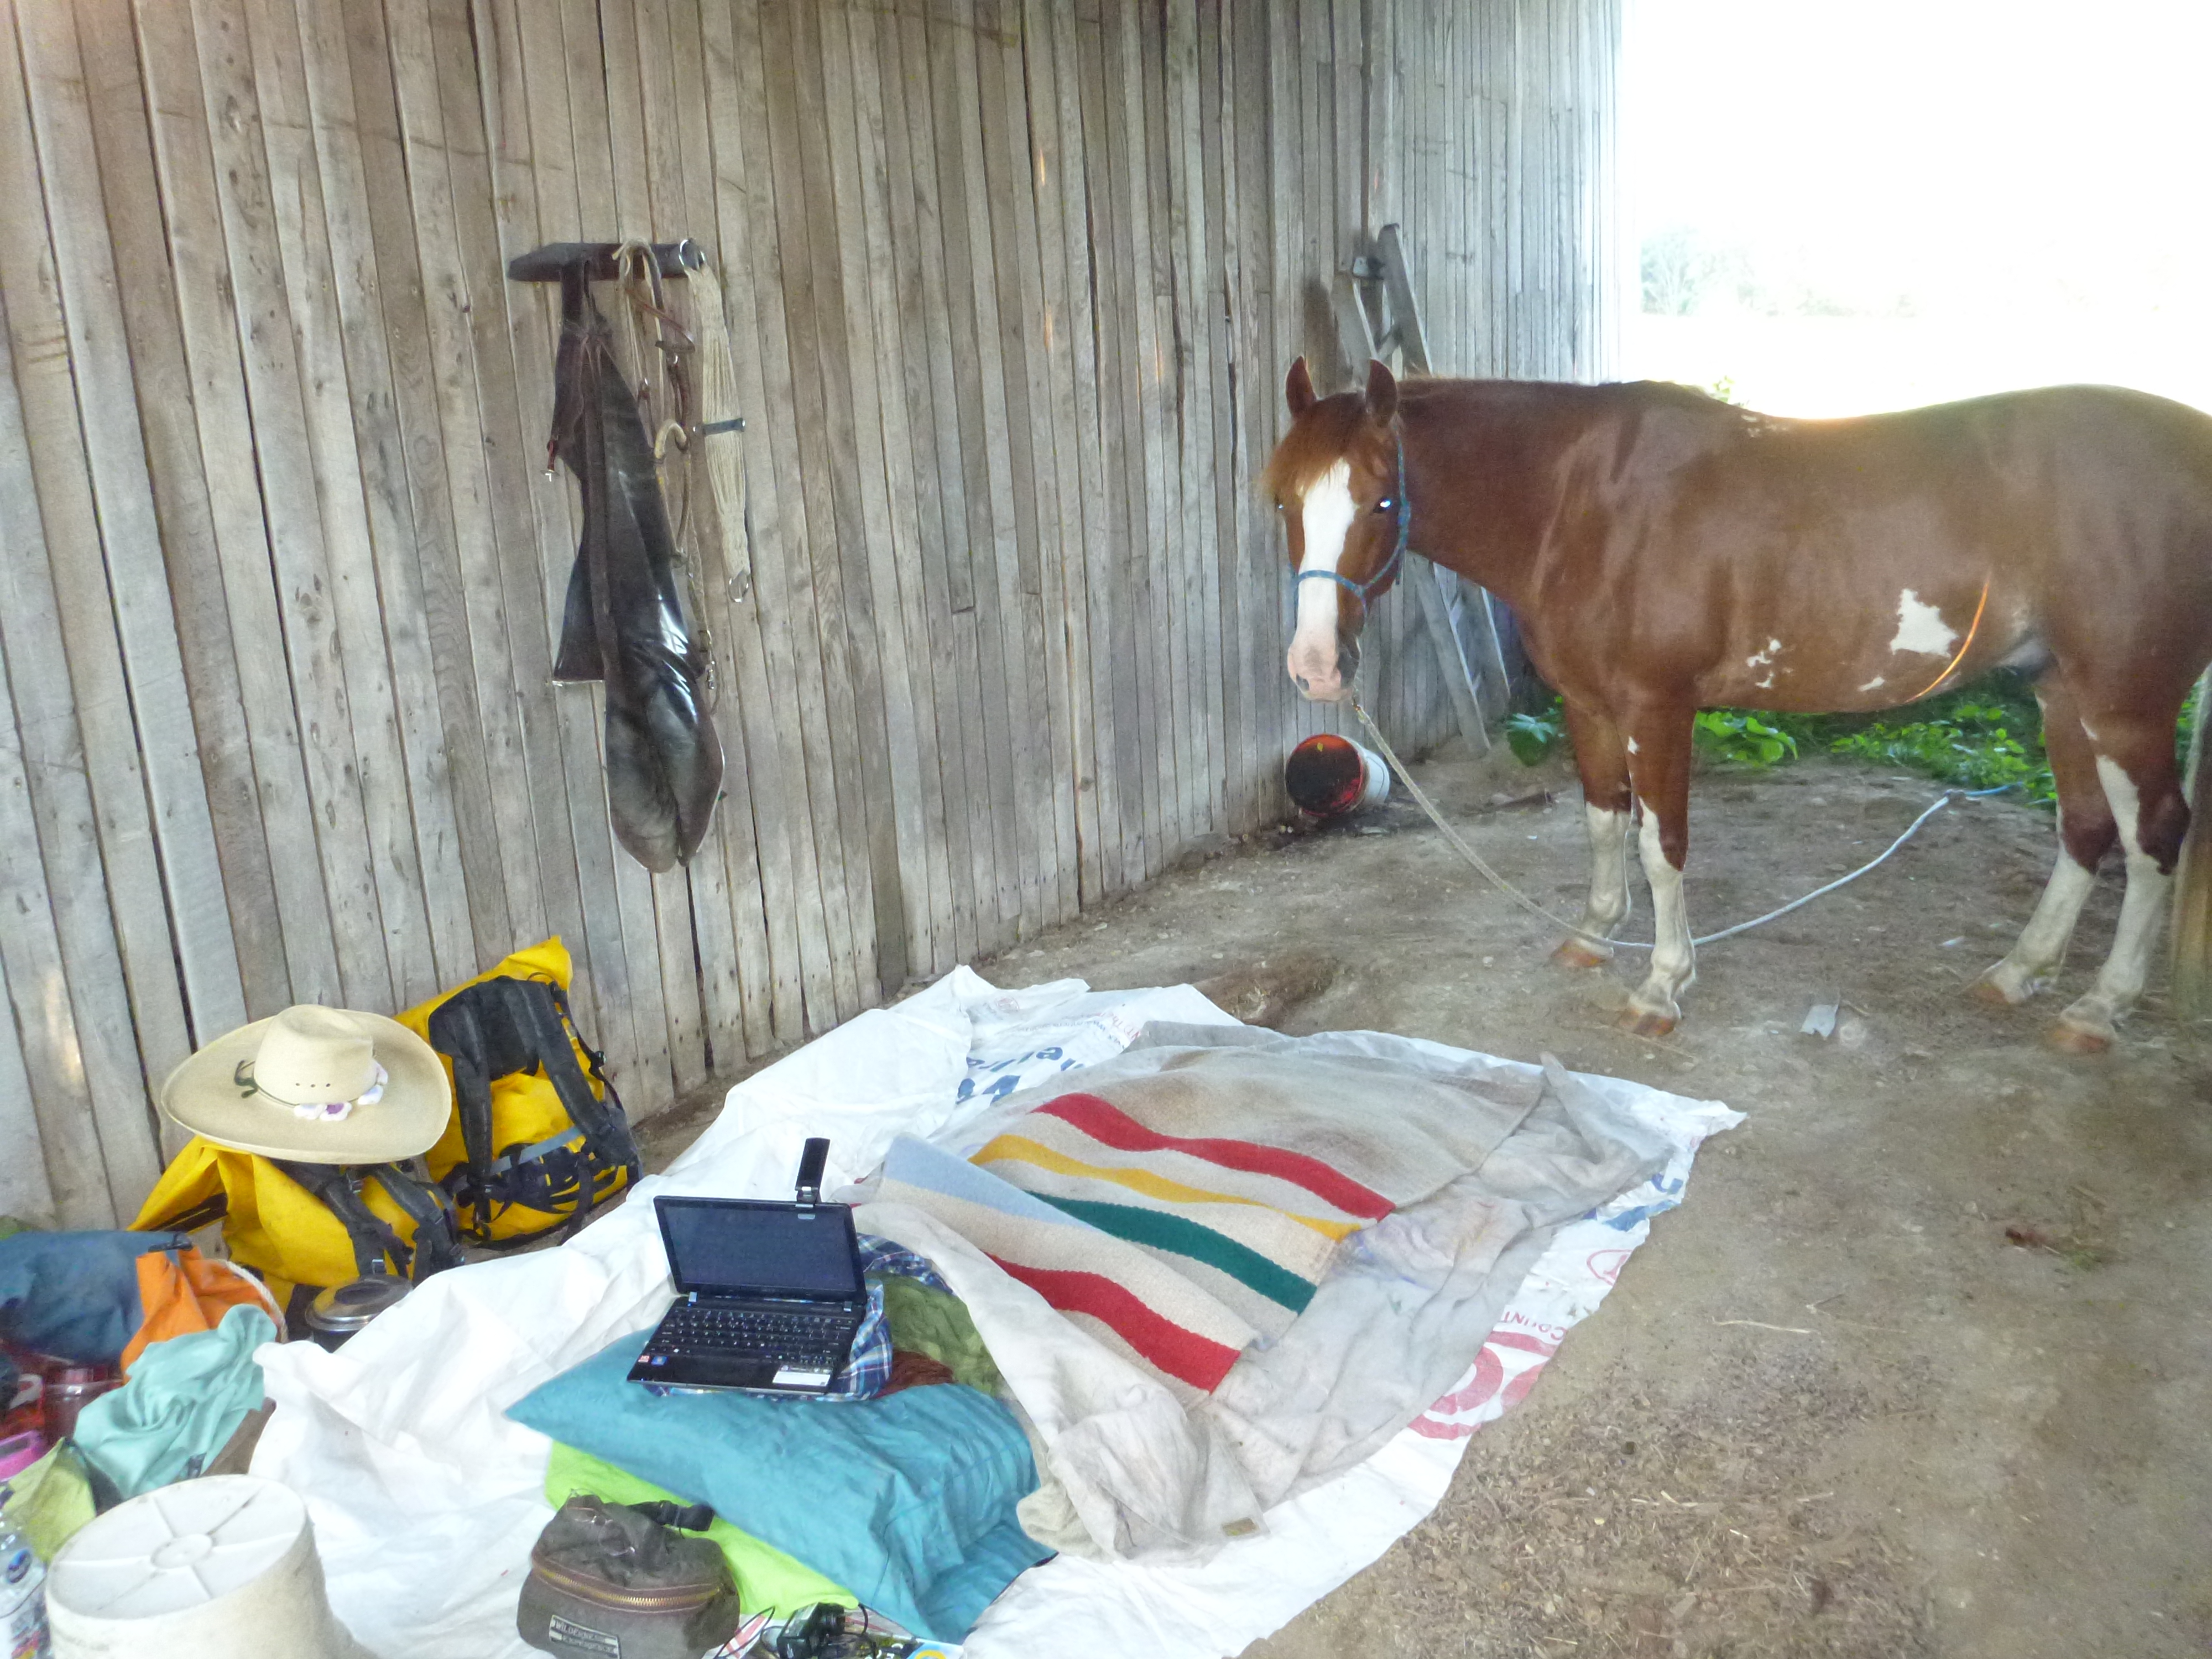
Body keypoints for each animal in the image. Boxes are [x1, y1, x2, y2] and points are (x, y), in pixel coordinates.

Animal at [1264, 356, 2212, 1050]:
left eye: (1382, 499)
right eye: (1281, 497)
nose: (1315, 667)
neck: (1581, 501)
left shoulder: (1659, 708)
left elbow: (1662, 846)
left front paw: (1660, 985)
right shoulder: (1587, 706)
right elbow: (1603, 821)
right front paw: (1593, 937)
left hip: (2126, 705)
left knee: (2154, 836)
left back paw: (2098, 1008)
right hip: (2062, 693)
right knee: (2085, 829)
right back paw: (2020, 973)